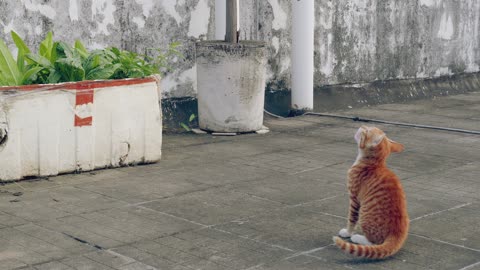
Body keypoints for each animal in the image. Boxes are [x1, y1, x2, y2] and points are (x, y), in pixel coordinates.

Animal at [334, 126, 408, 260]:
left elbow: (351, 219)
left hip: (364, 215)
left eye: (367, 131)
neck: (373, 164)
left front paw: (348, 232)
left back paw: (357, 237)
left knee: (374, 243)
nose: (363, 126)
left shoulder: (354, 199)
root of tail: (397, 234)